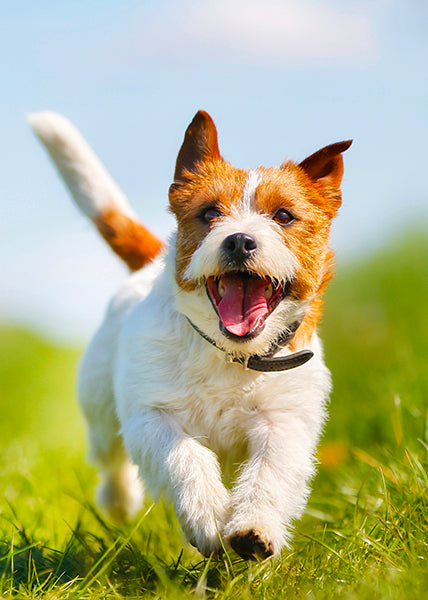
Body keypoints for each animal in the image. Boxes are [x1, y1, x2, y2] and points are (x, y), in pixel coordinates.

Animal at [29, 110, 352, 560]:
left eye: (283, 216)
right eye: (210, 212)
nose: (239, 240)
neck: (229, 354)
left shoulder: (284, 420)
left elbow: (270, 470)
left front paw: (254, 528)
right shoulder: (153, 416)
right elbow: (186, 457)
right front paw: (207, 517)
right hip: (99, 406)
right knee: (109, 457)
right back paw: (119, 500)